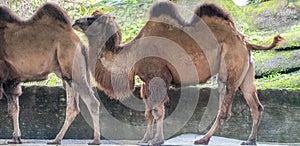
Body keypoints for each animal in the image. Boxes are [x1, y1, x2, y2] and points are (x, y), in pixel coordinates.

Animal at [0, 2, 101, 144]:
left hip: (72, 66)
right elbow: (14, 108)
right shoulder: (11, 80)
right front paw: (16, 138)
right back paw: (56, 139)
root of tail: (80, 43)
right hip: (66, 74)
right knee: (73, 107)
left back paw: (95, 140)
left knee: (91, 102)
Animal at [72, 0, 284, 145]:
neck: (132, 53)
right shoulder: (146, 82)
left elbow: (158, 111)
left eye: (91, 19)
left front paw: (157, 140)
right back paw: (250, 140)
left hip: (230, 66)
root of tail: (244, 41)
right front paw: (144, 140)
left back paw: (203, 139)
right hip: (246, 72)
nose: (74, 21)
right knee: (256, 106)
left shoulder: (158, 77)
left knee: (224, 107)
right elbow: (148, 112)